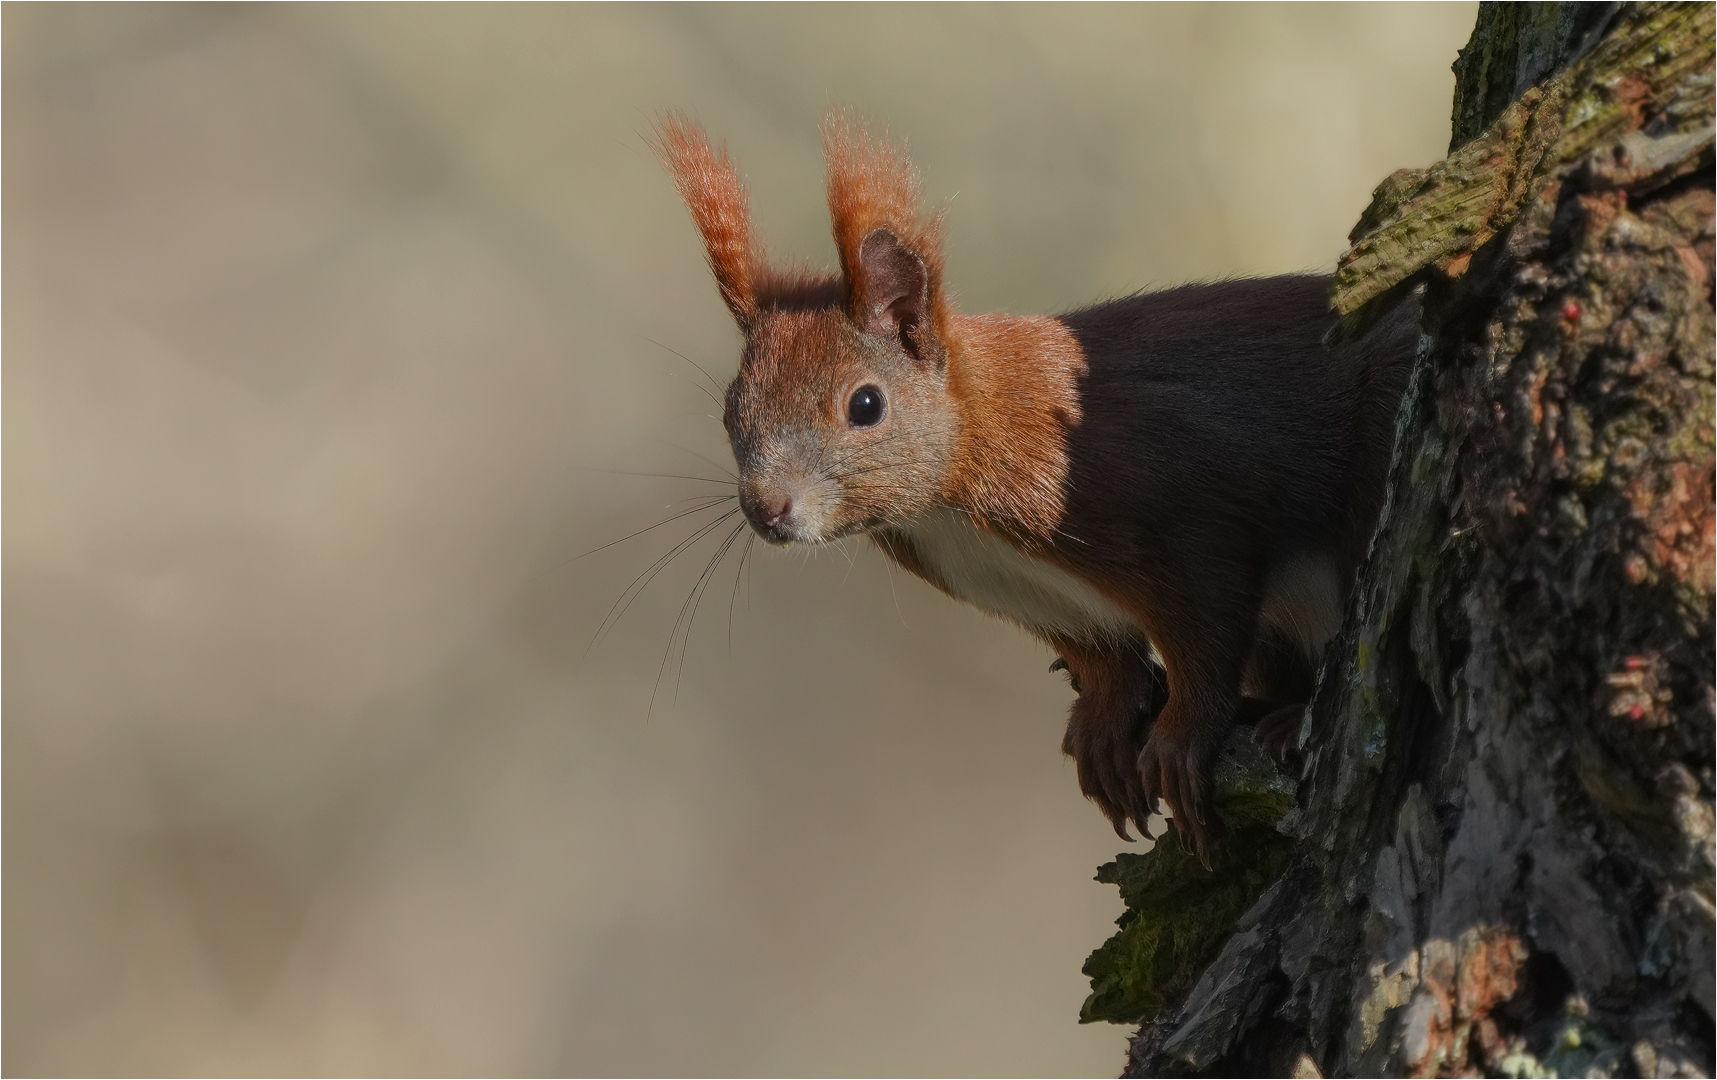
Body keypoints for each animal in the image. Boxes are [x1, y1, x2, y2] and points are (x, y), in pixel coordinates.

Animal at [649, 113, 1414, 855]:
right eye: (729, 410)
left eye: (865, 405)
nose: (766, 509)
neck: (951, 496)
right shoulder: (1036, 595)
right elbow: (1102, 658)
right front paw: (1105, 728)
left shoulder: (1181, 503)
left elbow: (1206, 630)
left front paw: (1180, 736)